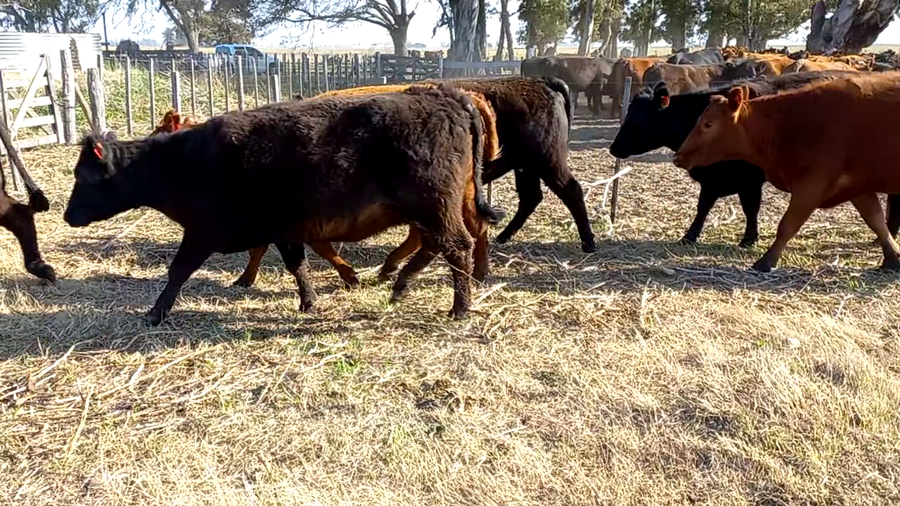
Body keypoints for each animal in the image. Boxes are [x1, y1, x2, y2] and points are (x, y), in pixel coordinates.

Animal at [63, 85, 504, 325]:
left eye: (83, 177)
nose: (67, 215)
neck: (186, 161)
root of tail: (446, 97)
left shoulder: (203, 232)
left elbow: (178, 270)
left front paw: (156, 312)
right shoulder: (283, 229)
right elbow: (298, 265)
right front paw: (309, 301)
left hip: (435, 205)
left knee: (456, 246)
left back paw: (459, 307)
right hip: (432, 209)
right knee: (433, 245)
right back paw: (400, 285)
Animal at [233, 77, 595, 289]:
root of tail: (541, 82)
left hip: (545, 162)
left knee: (570, 192)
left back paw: (588, 242)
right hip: (520, 169)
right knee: (524, 200)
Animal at [609, 70, 900, 248]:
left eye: (638, 119)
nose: (613, 148)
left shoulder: (749, 180)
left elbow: (751, 208)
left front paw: (749, 239)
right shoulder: (713, 179)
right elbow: (703, 207)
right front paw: (689, 236)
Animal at [672, 72, 900, 272]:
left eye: (708, 124)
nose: (678, 157)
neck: (786, 125)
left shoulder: (811, 185)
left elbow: (787, 225)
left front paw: (765, 262)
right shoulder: (858, 188)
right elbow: (877, 221)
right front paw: (893, 258)